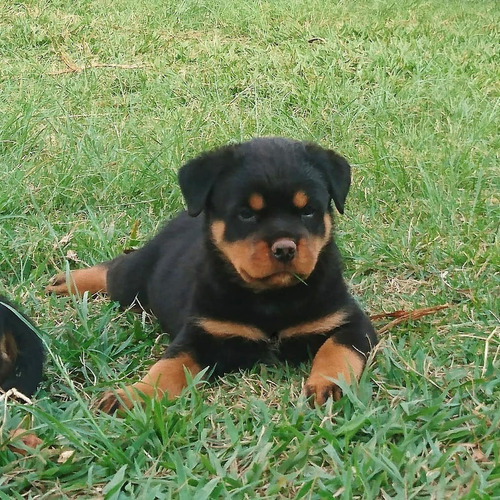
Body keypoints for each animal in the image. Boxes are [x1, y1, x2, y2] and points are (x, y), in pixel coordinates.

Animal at [47, 136, 376, 410]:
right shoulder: (201, 332)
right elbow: (168, 366)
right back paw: (68, 280)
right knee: (115, 268)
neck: (272, 299)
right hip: (134, 283)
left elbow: (336, 350)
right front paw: (133, 395)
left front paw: (327, 386)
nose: (285, 248)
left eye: (308, 210)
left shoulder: (350, 322)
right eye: (246, 214)